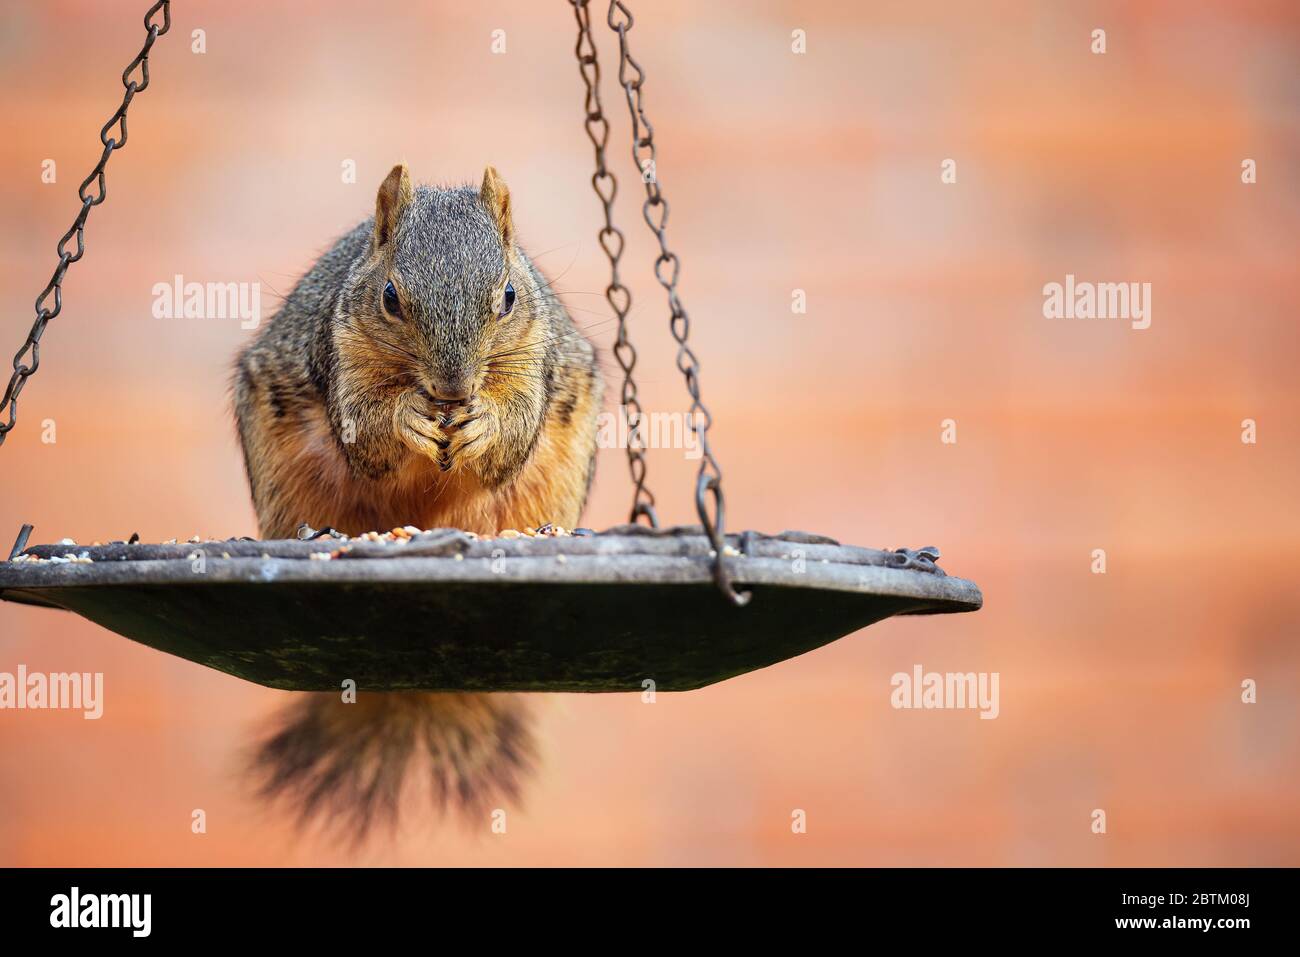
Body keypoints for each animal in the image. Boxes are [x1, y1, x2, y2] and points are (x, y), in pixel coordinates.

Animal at [232, 166, 603, 837]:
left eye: (509, 296)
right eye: (389, 298)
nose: (454, 388)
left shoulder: (533, 357)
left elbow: (514, 431)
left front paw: (484, 423)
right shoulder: (341, 354)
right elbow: (367, 434)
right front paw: (407, 417)